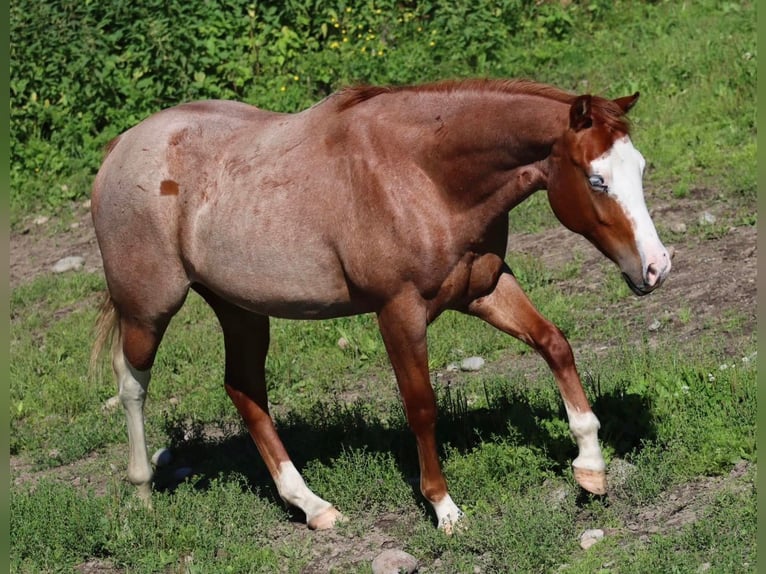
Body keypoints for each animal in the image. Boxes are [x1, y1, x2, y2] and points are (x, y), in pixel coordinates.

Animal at [90, 78, 671, 533]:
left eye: (641, 167)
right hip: (149, 309)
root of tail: (119, 149)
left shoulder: (484, 289)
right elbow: (421, 406)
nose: (656, 267)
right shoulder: (399, 312)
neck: (423, 174)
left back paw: (313, 506)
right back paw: (142, 493)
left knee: (244, 389)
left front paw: (590, 465)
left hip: (241, 309)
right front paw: (444, 509)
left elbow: (555, 344)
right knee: (131, 383)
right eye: (596, 179)